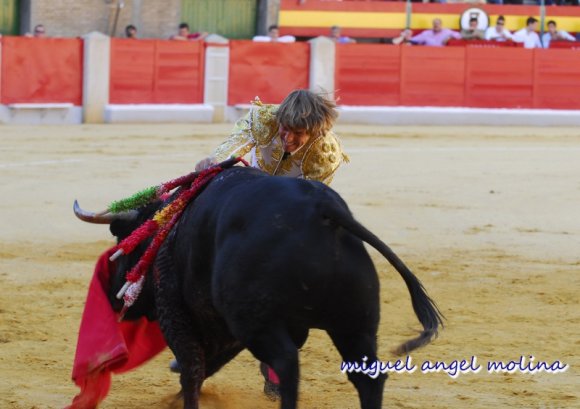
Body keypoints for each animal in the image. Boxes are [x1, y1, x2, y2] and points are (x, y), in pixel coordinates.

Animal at [73, 166, 444, 408]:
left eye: (123, 242)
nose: (113, 297)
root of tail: (325, 210)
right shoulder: (231, 326)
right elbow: (209, 364)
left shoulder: (179, 315)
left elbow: (192, 369)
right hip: (356, 323)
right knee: (368, 378)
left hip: (260, 324)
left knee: (288, 367)